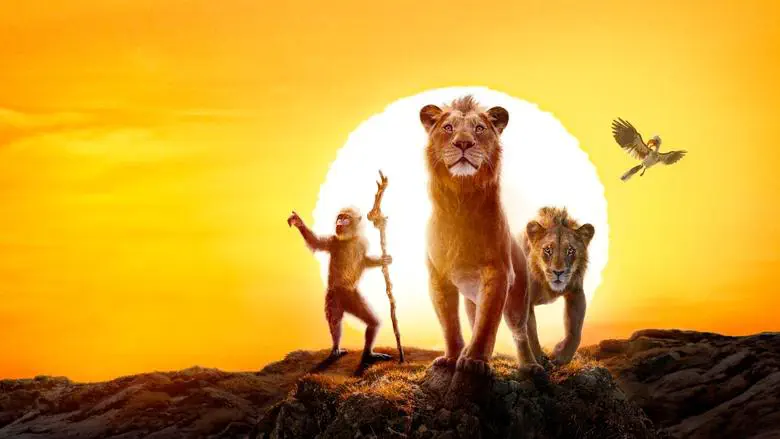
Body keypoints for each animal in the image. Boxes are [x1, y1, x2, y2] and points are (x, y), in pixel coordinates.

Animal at [419, 95, 541, 391]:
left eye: (479, 129)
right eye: (448, 128)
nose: (463, 143)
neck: (460, 202)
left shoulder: (498, 273)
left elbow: (487, 325)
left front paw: (474, 362)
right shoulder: (438, 277)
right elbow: (449, 323)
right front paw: (453, 357)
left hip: (517, 300)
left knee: (519, 332)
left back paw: (530, 366)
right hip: (471, 299)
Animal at [523, 207, 595, 365]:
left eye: (570, 250)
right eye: (548, 250)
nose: (558, 272)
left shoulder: (576, 293)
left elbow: (575, 332)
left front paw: (561, 355)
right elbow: (531, 332)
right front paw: (538, 358)